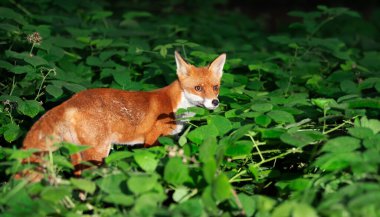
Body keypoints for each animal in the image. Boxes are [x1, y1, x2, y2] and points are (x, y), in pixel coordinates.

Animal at [20, 51, 226, 177]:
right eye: (198, 88)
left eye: (215, 87)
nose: (215, 102)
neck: (174, 104)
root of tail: (71, 100)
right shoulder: (151, 139)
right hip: (98, 153)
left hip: (77, 154)